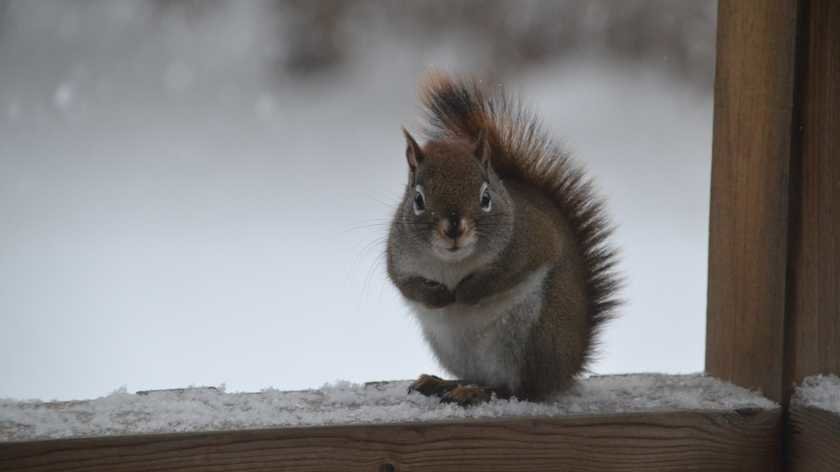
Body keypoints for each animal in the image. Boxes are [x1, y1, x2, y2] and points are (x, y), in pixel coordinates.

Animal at [386, 74, 616, 406]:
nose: (454, 227)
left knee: (519, 390)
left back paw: (475, 391)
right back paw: (442, 383)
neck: (453, 263)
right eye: (418, 200)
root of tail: (568, 366)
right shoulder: (398, 255)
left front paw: (466, 293)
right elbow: (404, 283)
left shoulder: (535, 238)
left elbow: (504, 274)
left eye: (485, 197)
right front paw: (438, 296)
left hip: (531, 336)